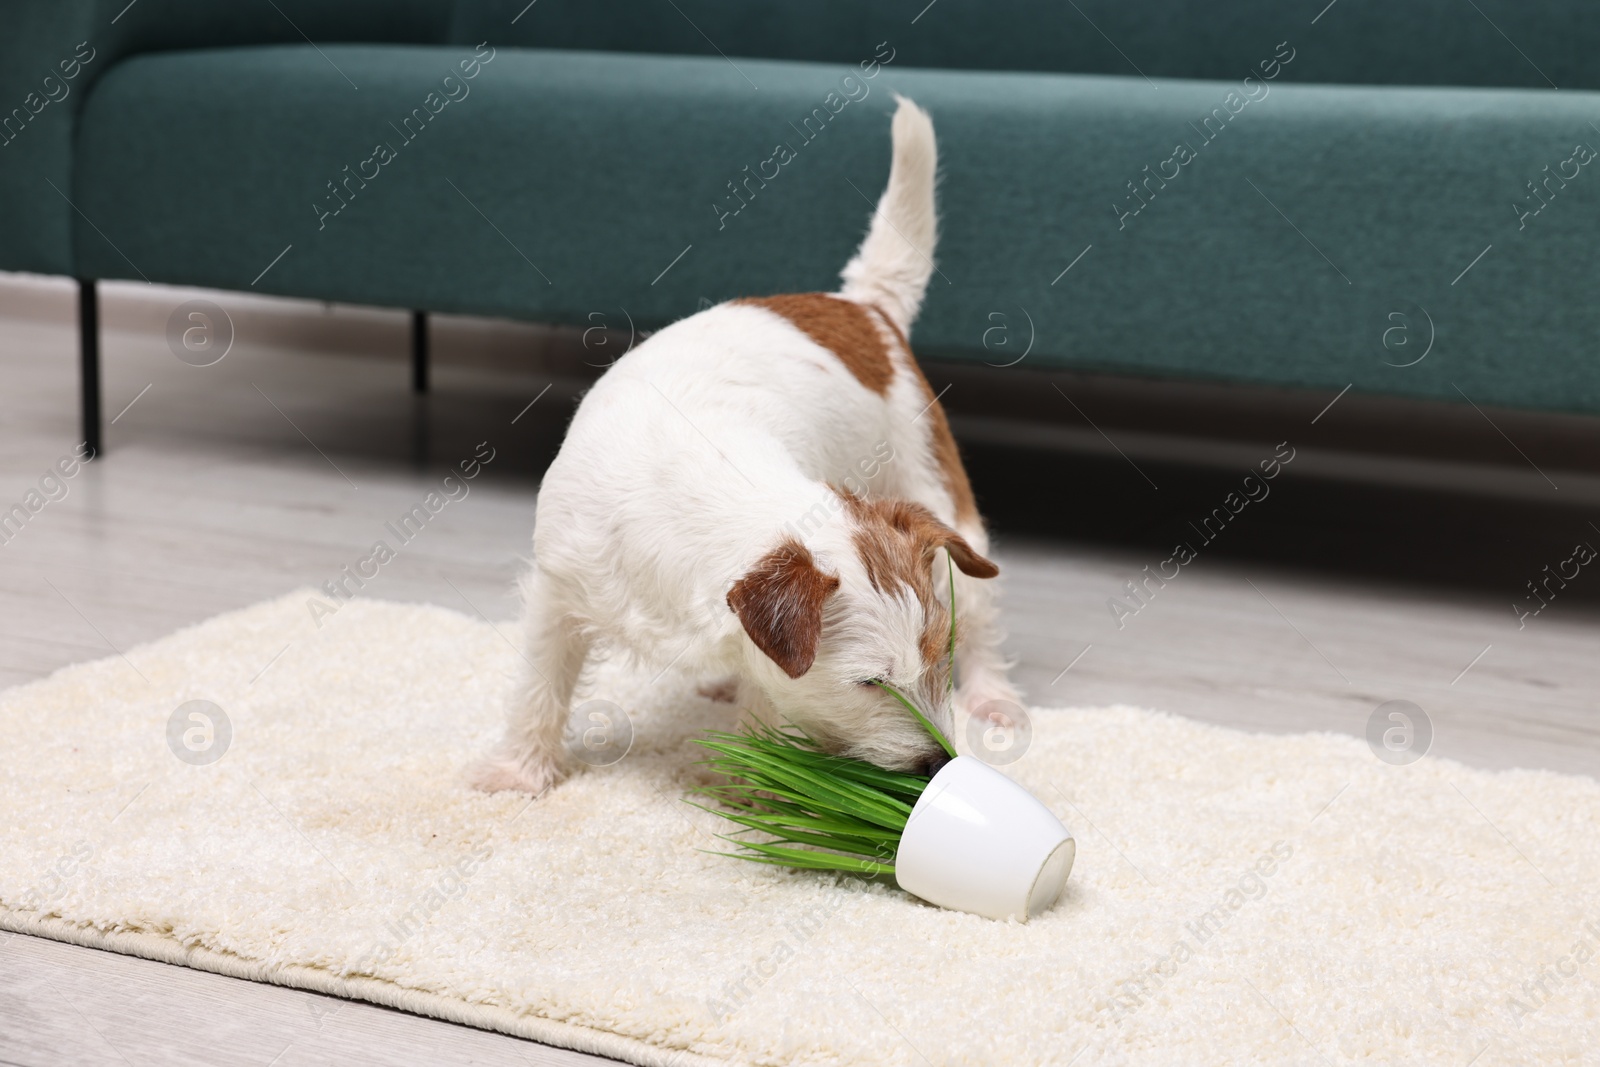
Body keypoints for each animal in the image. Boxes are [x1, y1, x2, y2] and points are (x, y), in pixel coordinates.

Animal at [473, 95, 1017, 793]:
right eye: (872, 683)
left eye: (935, 664)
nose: (938, 765)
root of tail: (859, 306)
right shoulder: (558, 591)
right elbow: (540, 683)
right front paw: (519, 770)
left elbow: (766, 708)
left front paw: (759, 789)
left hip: (940, 495)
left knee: (980, 610)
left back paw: (994, 696)